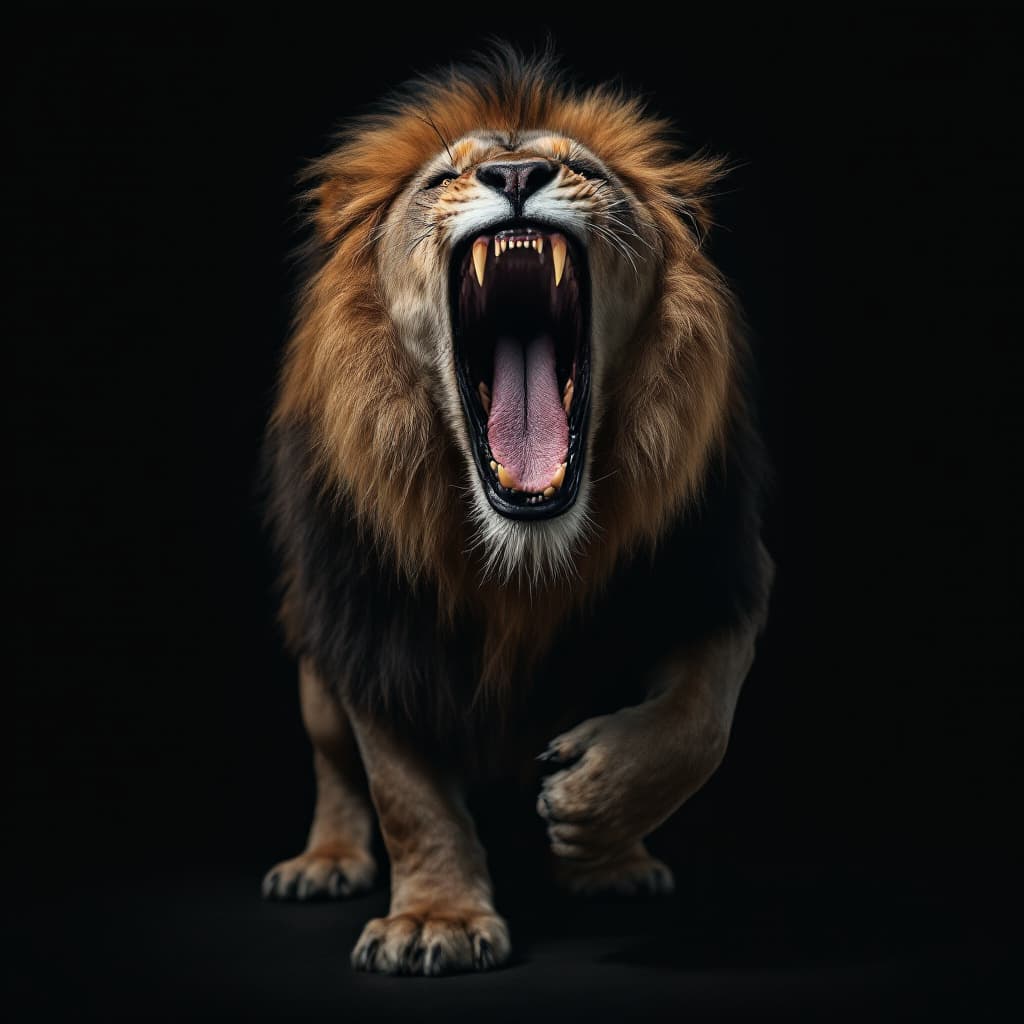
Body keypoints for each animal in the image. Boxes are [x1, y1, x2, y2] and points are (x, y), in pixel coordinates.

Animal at [261, 48, 773, 976]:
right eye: (443, 178)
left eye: (583, 170)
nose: (515, 175)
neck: (523, 550)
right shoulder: (369, 620)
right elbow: (402, 792)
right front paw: (436, 920)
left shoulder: (718, 573)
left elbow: (697, 723)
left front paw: (593, 807)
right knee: (333, 763)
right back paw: (323, 862)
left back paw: (613, 864)